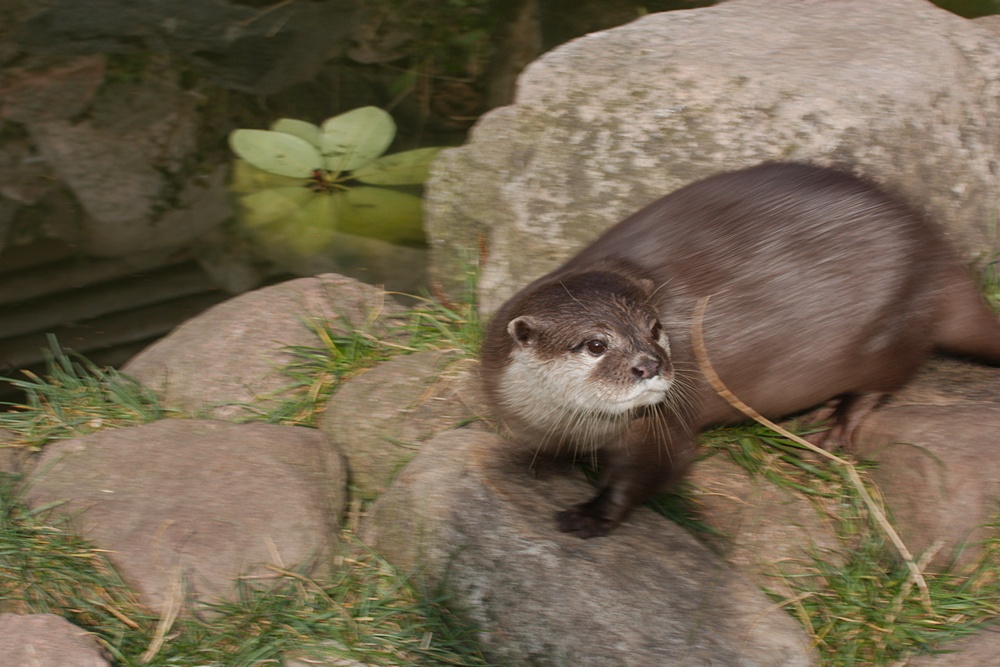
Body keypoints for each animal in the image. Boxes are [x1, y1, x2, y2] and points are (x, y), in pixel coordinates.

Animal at [478, 160, 1000, 536]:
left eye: (655, 326)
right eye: (595, 344)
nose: (649, 364)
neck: (573, 428)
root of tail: (935, 250)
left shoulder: (661, 428)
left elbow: (648, 474)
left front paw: (591, 514)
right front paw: (533, 464)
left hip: (894, 329)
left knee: (889, 378)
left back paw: (834, 427)